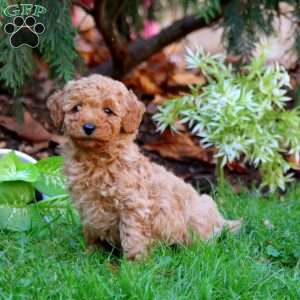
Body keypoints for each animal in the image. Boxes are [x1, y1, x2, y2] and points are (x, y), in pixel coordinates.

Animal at [48, 74, 241, 258]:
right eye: (76, 108)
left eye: (108, 111)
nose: (88, 127)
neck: (96, 159)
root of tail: (220, 220)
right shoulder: (86, 205)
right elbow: (91, 232)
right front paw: (90, 255)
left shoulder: (133, 205)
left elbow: (132, 237)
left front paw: (133, 266)